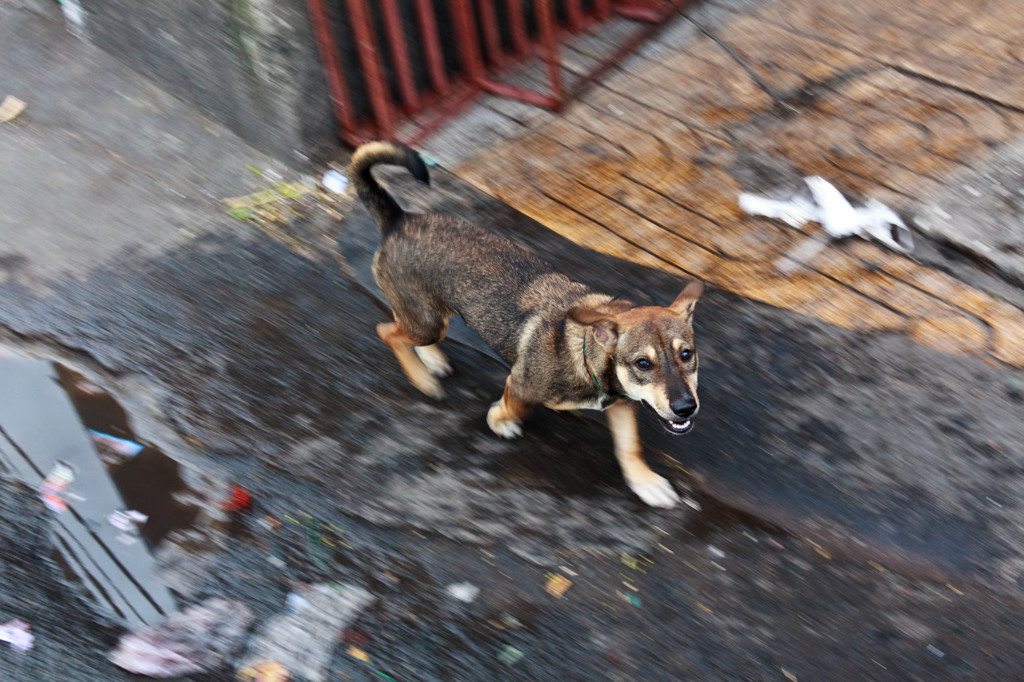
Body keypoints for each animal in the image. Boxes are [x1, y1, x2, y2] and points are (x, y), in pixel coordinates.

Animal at [348, 140, 700, 507]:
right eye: (643, 363)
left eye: (686, 354)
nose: (686, 409)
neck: (586, 355)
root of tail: (398, 219)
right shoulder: (519, 384)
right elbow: (513, 408)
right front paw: (500, 419)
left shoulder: (622, 404)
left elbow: (629, 446)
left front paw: (645, 482)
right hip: (426, 322)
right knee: (387, 332)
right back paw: (422, 379)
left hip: (427, 315)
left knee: (399, 323)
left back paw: (431, 360)